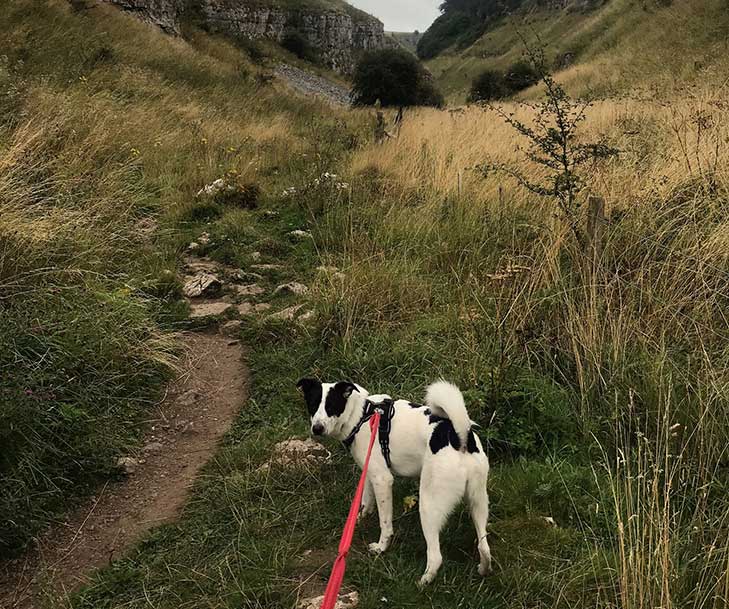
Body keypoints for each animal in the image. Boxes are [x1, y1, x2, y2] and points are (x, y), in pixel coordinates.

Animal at [298, 376, 494, 584]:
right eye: (312, 404)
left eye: (331, 406)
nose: (317, 429)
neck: (361, 416)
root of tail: (461, 438)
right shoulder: (371, 472)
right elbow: (366, 500)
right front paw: (357, 519)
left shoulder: (383, 479)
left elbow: (385, 523)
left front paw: (381, 547)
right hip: (478, 503)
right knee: (484, 547)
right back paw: (483, 569)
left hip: (428, 506)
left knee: (436, 556)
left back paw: (424, 581)